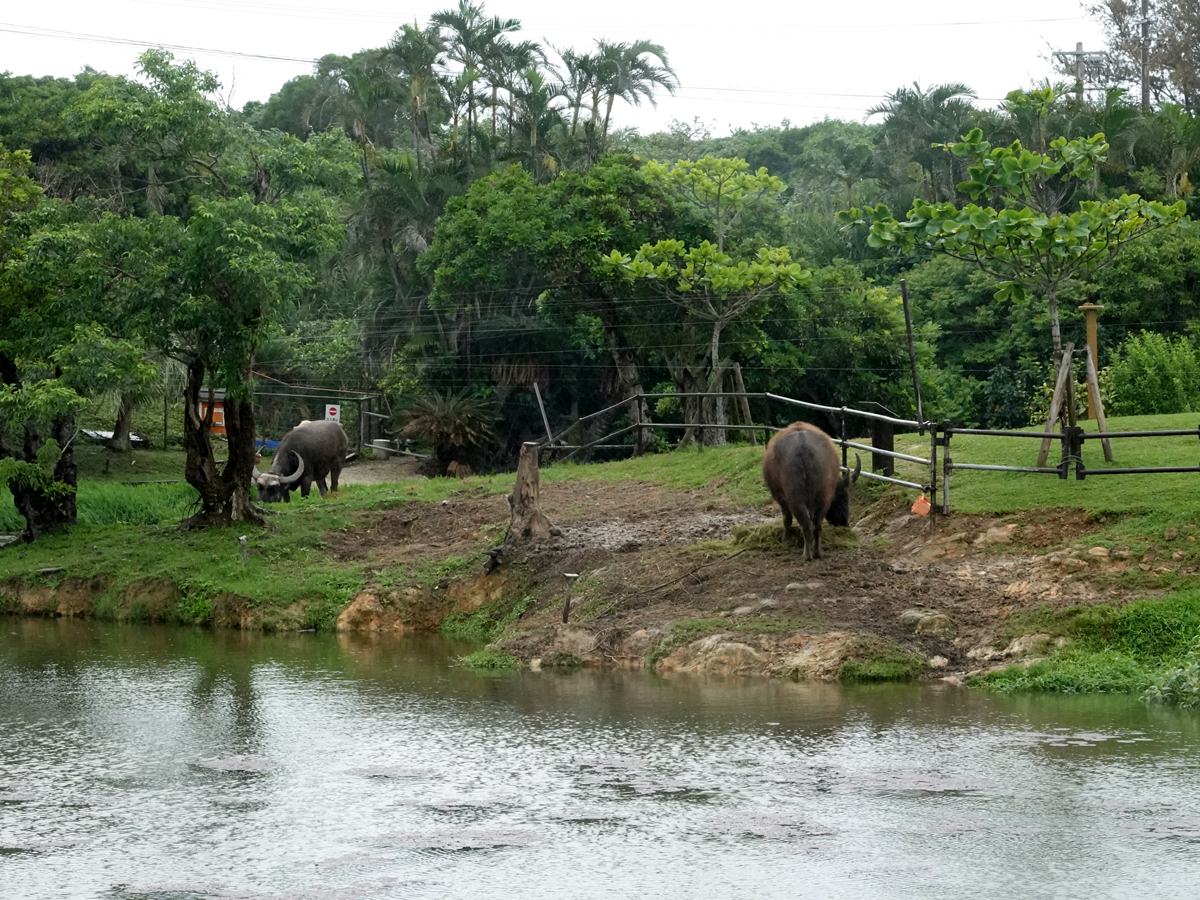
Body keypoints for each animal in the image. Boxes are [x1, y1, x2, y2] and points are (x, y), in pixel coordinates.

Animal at [763, 424, 859, 564]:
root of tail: (804, 446)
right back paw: (817, 552)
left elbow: (787, 519)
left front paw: (785, 539)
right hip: (822, 497)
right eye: (841, 497)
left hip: (796, 498)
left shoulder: (781, 499)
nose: (843, 521)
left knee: (806, 525)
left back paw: (807, 555)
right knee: (817, 525)